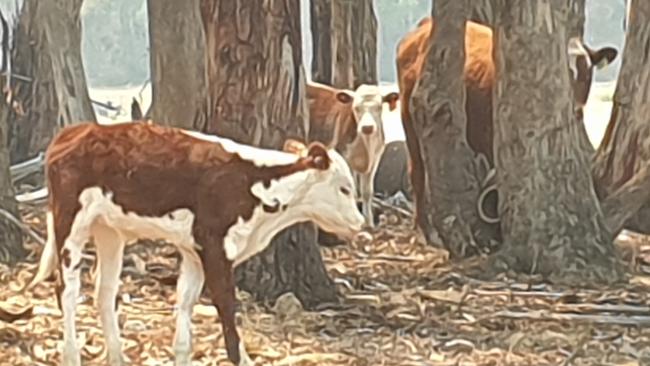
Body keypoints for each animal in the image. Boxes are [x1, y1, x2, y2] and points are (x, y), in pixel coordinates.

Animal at [27, 123, 364, 366]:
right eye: (344, 188)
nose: (360, 223)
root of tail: (77, 130)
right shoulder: (215, 245)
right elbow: (226, 305)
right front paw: (241, 357)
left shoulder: (193, 251)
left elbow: (186, 301)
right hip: (71, 222)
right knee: (67, 290)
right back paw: (71, 355)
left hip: (109, 230)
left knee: (104, 291)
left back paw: (117, 357)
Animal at [306, 81, 400, 227]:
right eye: (356, 108)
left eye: (379, 107)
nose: (367, 127)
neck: (366, 146)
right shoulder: (345, 159)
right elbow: (353, 191)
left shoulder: (374, 161)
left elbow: (367, 192)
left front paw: (369, 223)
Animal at [394, 17, 616, 229]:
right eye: (561, 74)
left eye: (587, 73)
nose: (576, 110)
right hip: (409, 117)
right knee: (417, 172)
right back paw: (423, 226)